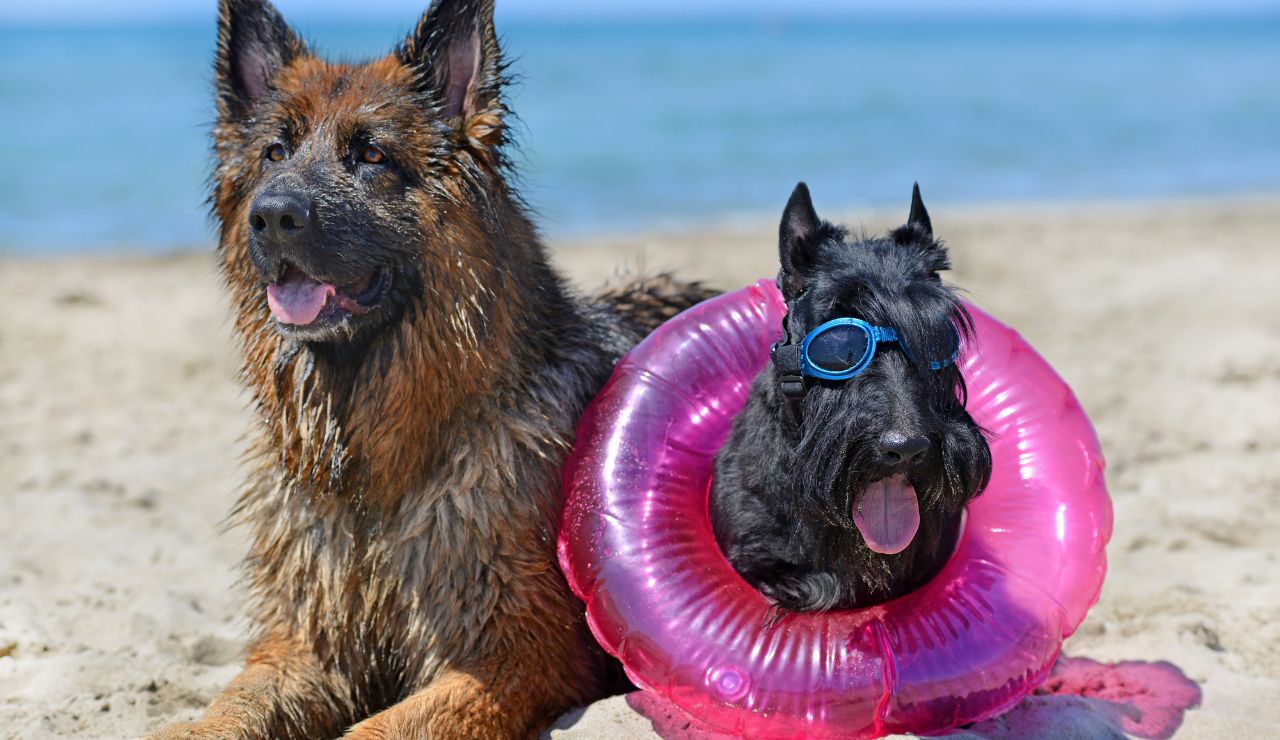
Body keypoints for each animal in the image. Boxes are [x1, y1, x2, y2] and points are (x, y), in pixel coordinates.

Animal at [157, 2, 711, 732]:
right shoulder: (303, 647)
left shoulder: (519, 657)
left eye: (371, 155)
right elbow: (228, 709)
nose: (271, 216)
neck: (374, 475)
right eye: (274, 153)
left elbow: (381, 728)